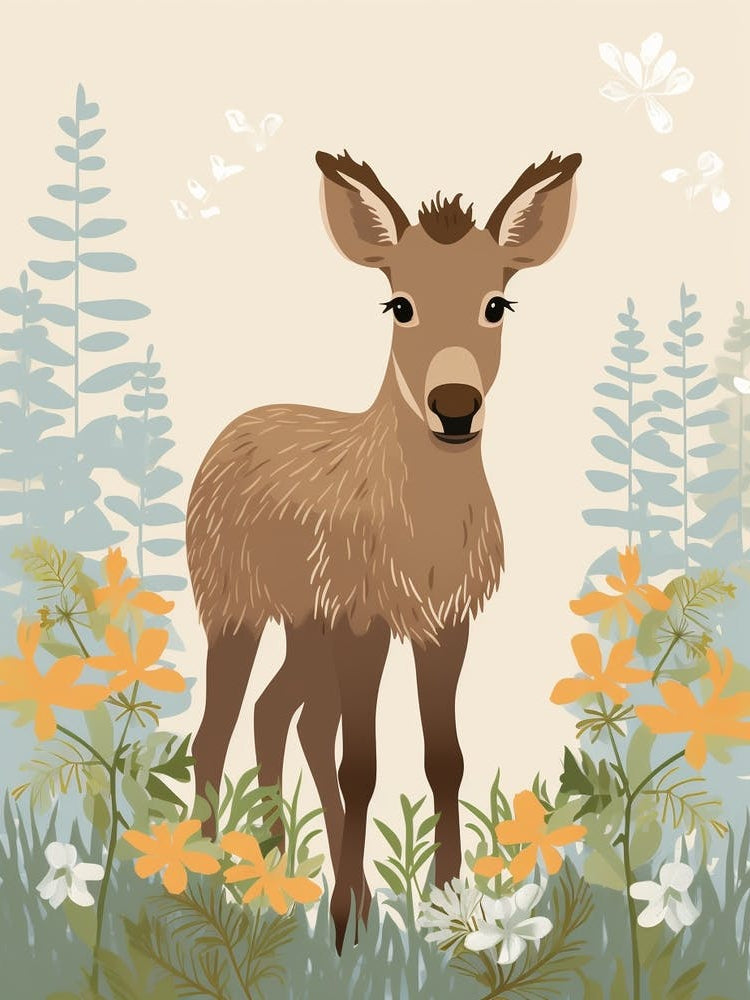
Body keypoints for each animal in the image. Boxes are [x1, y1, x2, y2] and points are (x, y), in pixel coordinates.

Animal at [186, 148, 582, 949]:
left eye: (498, 303)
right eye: (399, 304)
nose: (455, 407)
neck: (421, 529)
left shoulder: (445, 622)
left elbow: (445, 759)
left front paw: (451, 903)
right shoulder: (362, 618)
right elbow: (360, 766)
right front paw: (343, 929)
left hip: (303, 624)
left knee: (280, 714)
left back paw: (282, 866)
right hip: (236, 609)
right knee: (216, 732)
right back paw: (220, 876)